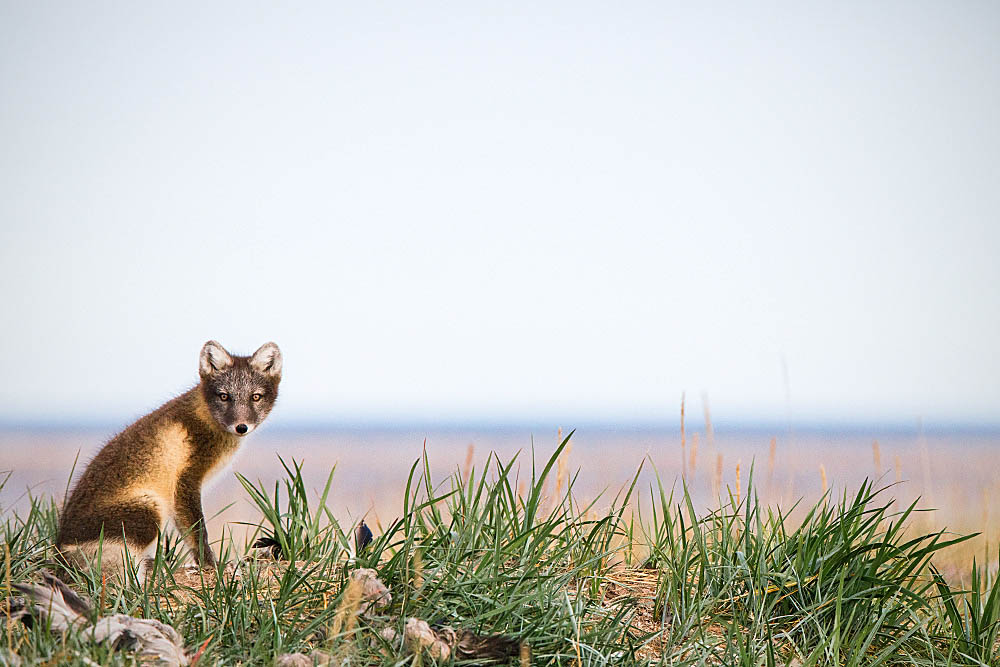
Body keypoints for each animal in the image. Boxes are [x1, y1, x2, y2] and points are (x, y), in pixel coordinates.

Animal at [56, 342, 282, 576]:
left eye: (255, 397)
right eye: (224, 396)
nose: (241, 427)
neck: (206, 418)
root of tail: (61, 553)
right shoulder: (186, 481)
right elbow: (198, 532)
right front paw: (211, 564)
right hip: (149, 509)